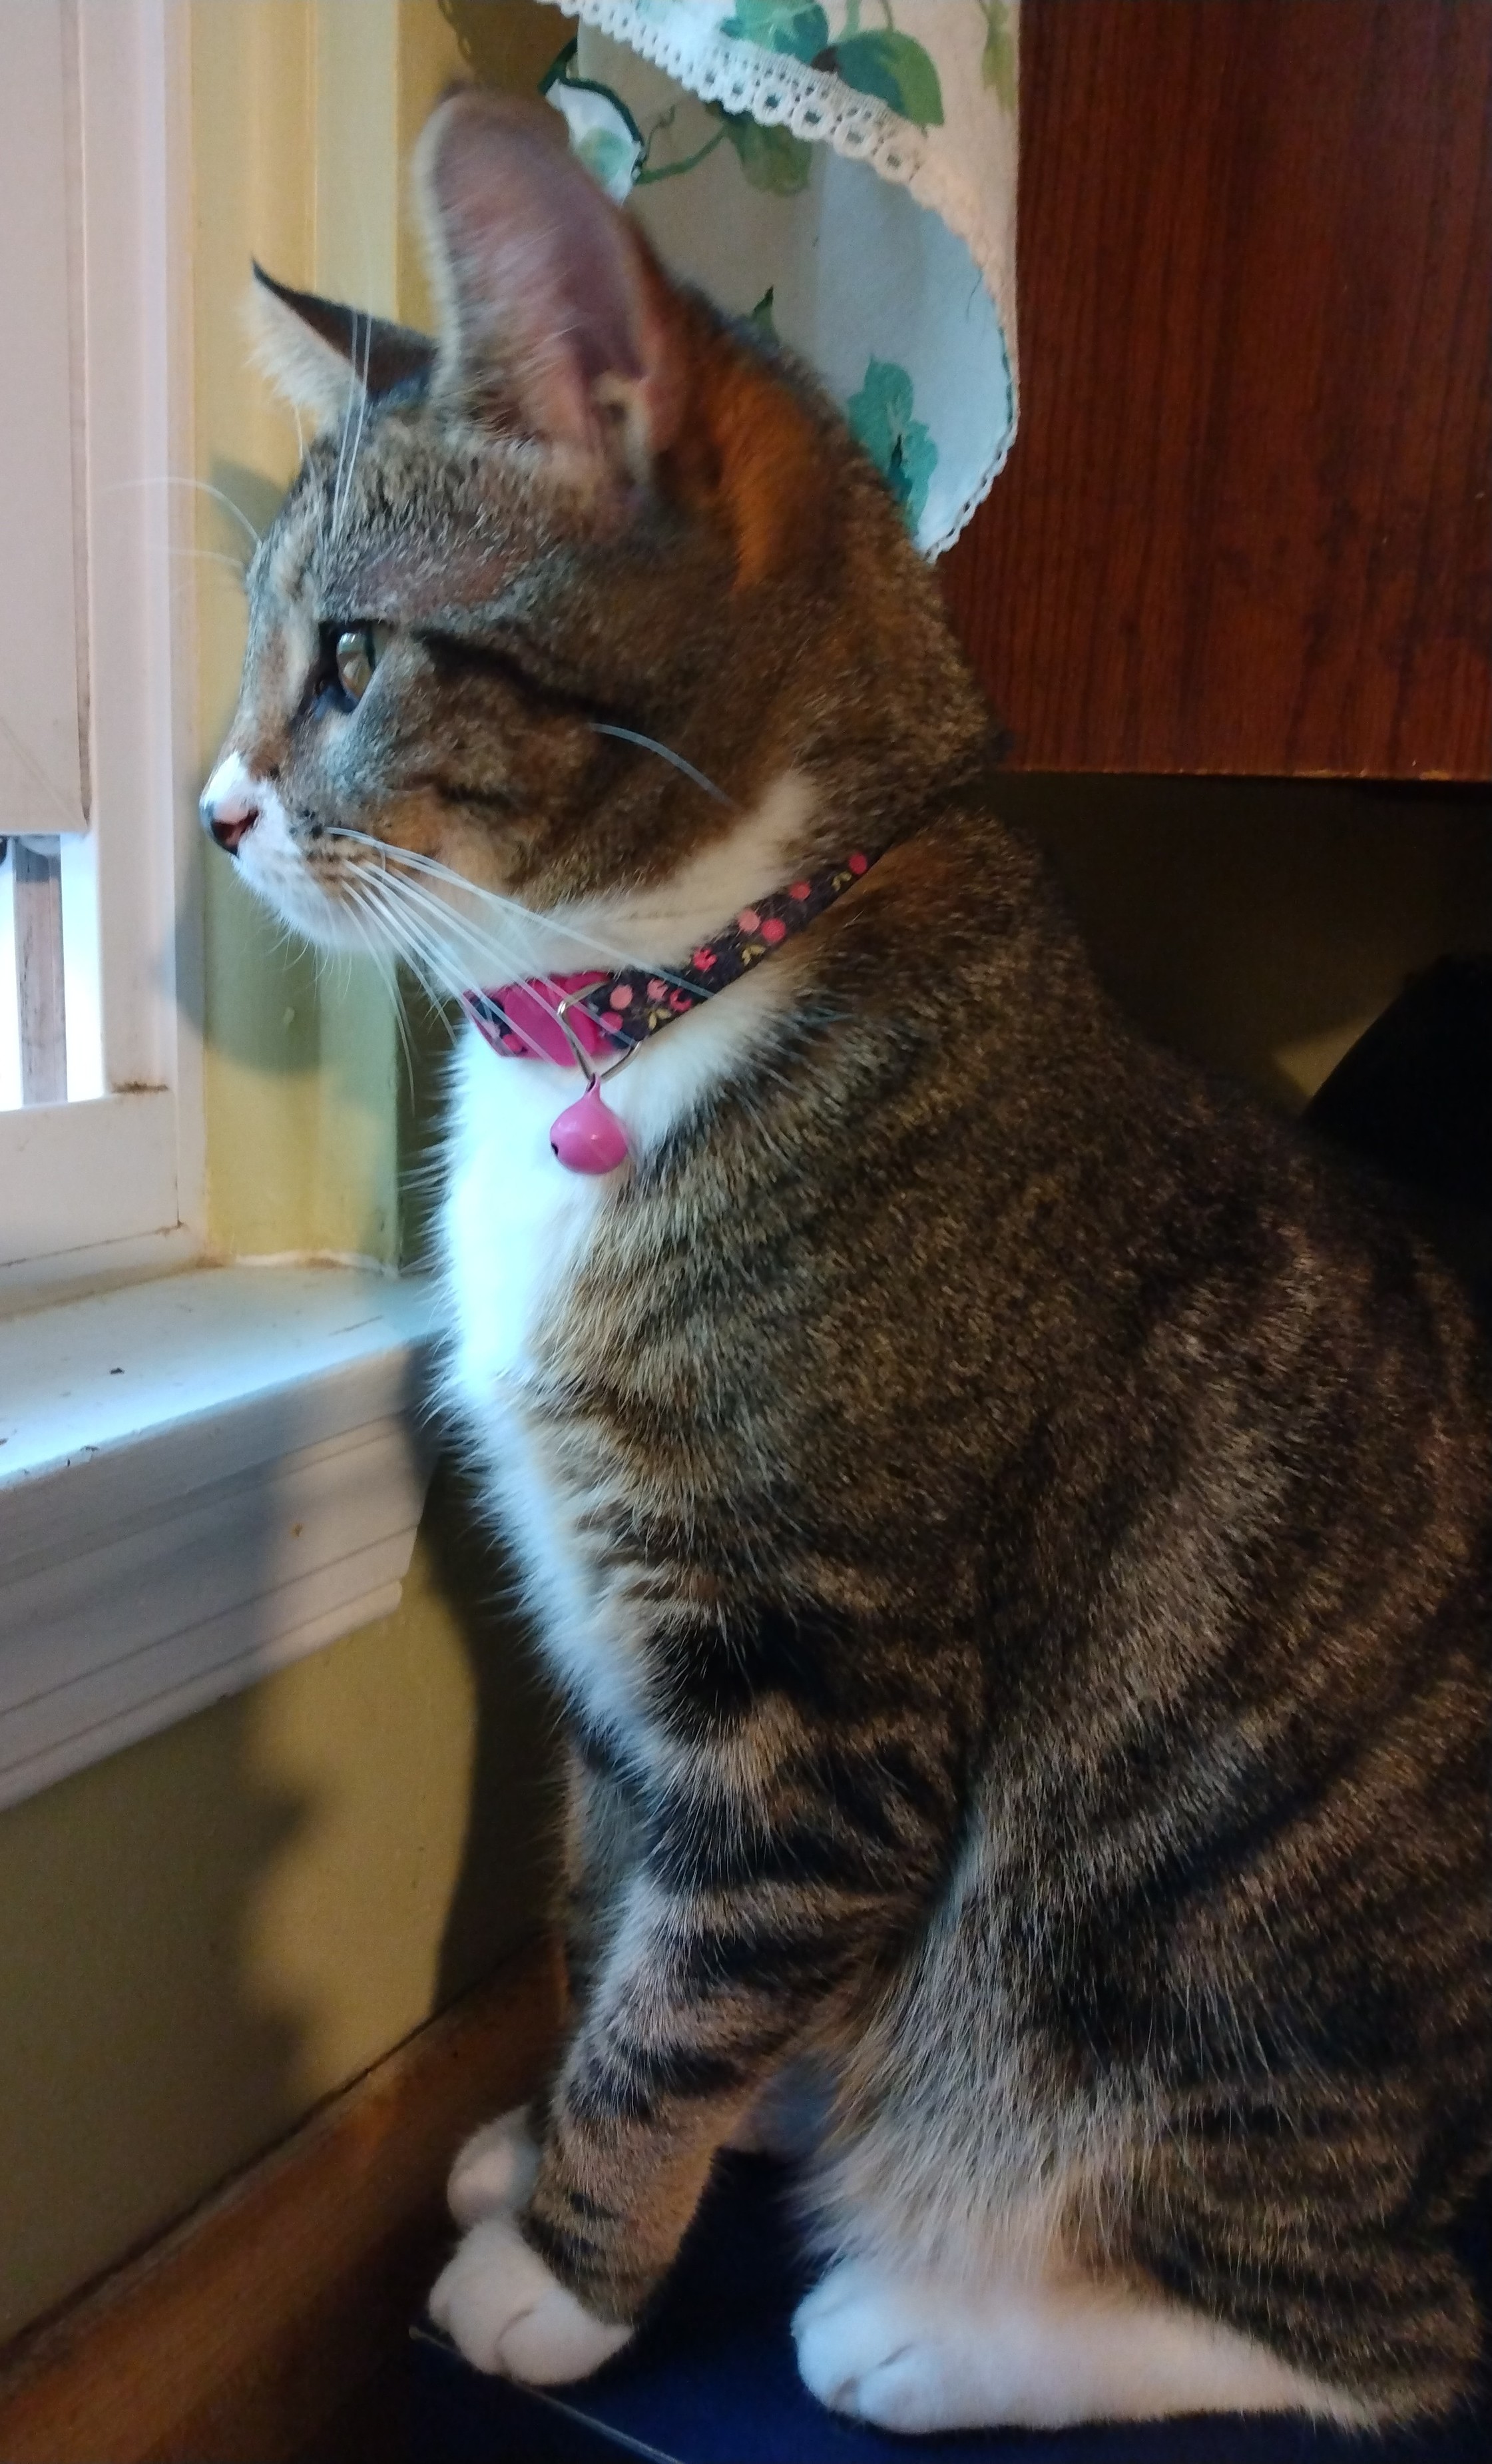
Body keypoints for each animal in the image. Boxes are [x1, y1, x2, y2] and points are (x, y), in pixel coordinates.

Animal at [202, 91, 1492, 2424]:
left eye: (346, 658)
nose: (215, 812)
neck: (661, 1002)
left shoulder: (822, 1682)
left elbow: (686, 1996)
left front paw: (569, 2266)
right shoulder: (628, 1661)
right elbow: (620, 1916)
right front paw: (560, 2132)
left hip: (1177, 1976)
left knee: (1371, 2336)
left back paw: (932, 2323)